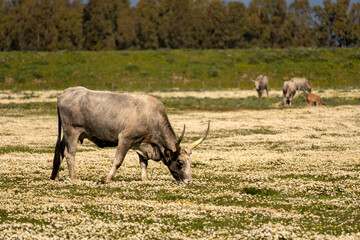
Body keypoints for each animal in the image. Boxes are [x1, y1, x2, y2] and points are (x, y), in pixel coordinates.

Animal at [50, 86, 208, 184]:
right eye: (180, 163)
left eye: (190, 162)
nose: (189, 181)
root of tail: (65, 93)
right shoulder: (125, 139)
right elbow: (118, 160)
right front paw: (108, 179)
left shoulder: (140, 143)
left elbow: (143, 162)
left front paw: (145, 179)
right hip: (72, 132)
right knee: (70, 154)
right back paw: (74, 178)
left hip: (66, 135)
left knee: (61, 152)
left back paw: (56, 176)